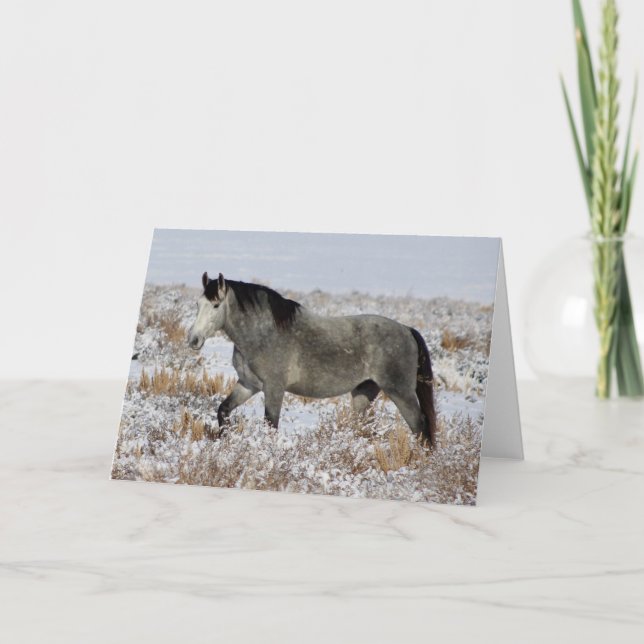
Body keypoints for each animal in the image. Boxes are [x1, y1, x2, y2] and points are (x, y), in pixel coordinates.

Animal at [187, 273, 437, 447]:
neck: (263, 333)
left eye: (216, 305)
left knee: (420, 427)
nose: (193, 339)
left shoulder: (274, 389)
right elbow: (223, 410)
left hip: (400, 392)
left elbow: (270, 425)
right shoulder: (248, 385)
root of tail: (407, 330)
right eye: (197, 304)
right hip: (364, 392)